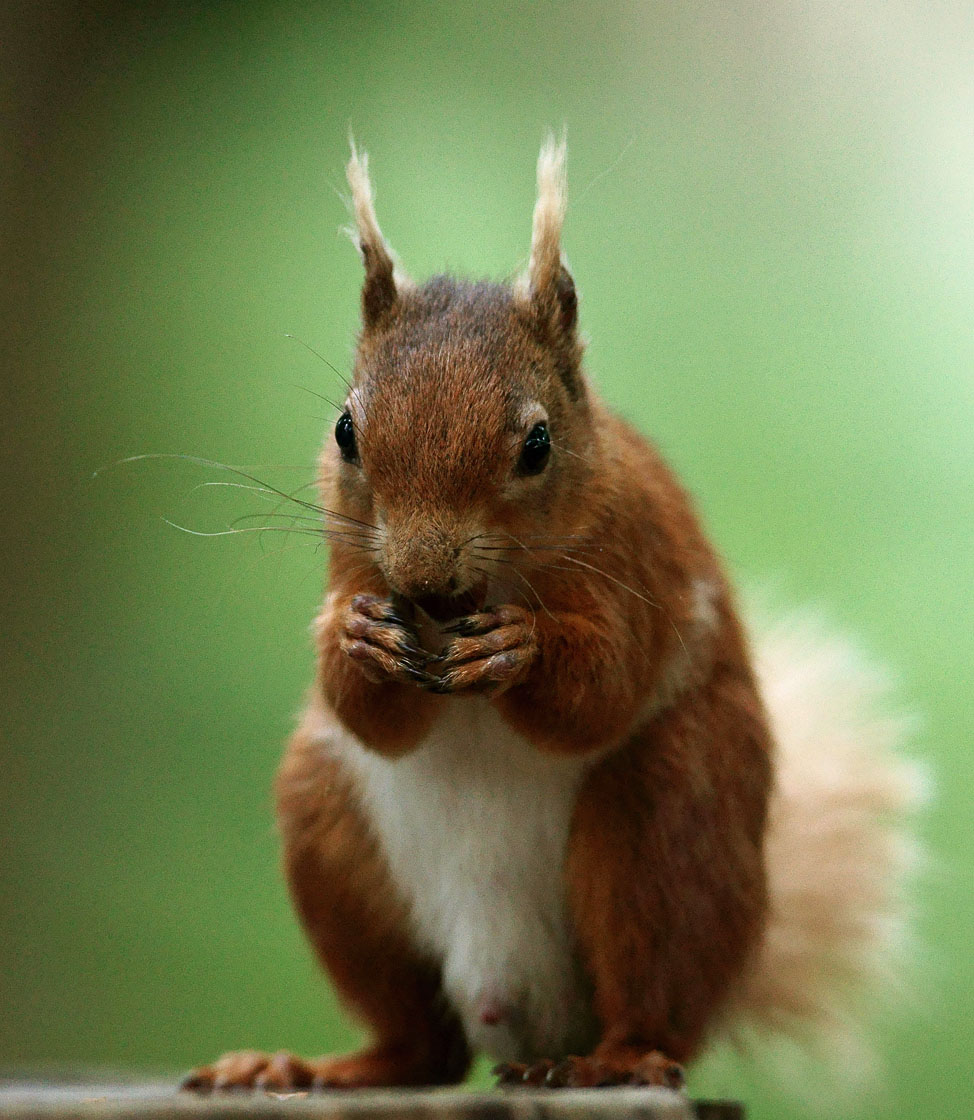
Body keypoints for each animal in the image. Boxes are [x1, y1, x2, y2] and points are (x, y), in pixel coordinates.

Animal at [183, 137, 922, 1093]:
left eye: (537, 444)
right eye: (346, 431)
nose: (425, 577)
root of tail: (522, 1012)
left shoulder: (636, 558)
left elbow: (600, 692)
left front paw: (520, 650)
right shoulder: (353, 562)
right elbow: (372, 717)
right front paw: (356, 638)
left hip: (668, 815)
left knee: (654, 995)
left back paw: (617, 1058)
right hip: (332, 836)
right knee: (422, 1047)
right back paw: (314, 1066)